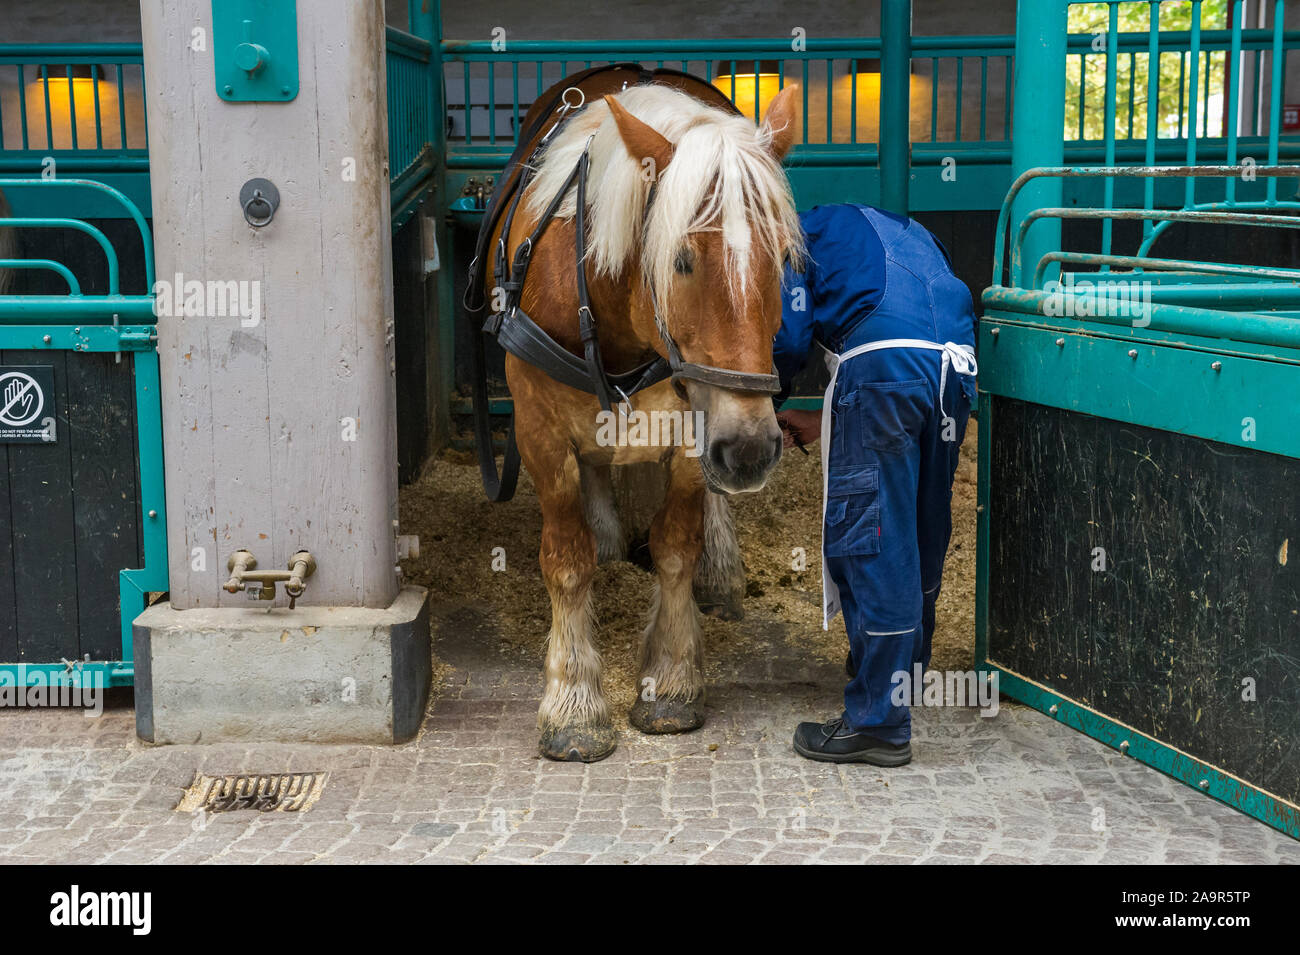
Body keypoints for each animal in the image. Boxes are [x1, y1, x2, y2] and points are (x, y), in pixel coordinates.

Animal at [475, 69, 800, 764]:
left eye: (784, 257)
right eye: (680, 260)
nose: (750, 449)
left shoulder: (697, 429)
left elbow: (676, 548)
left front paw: (671, 680)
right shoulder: (539, 432)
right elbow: (566, 559)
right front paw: (573, 701)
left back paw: (720, 569)